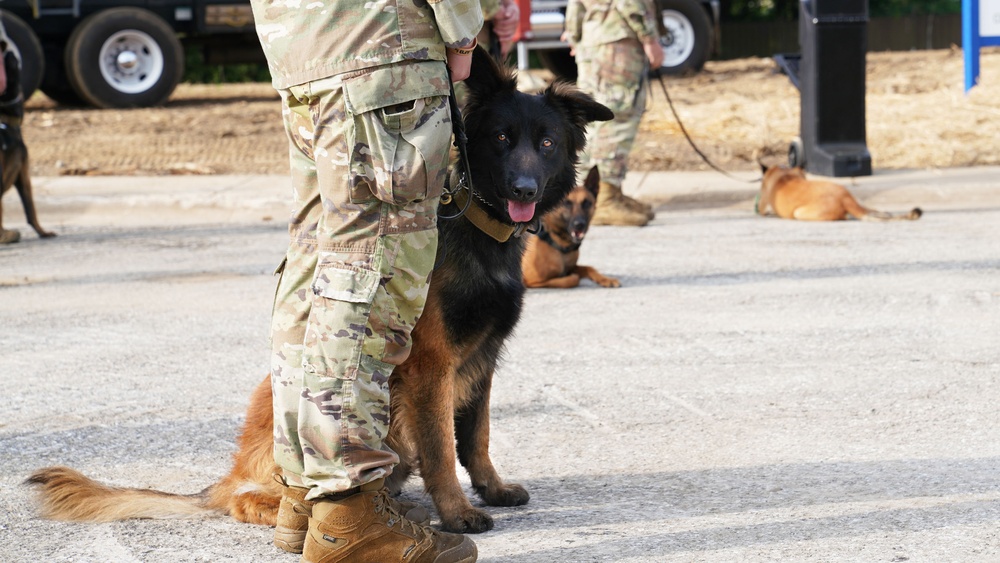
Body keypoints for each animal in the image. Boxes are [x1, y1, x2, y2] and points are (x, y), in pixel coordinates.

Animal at [756, 162, 920, 221]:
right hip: (857, 201)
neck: (783, 172)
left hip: (799, 213)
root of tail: (844, 197)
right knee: (870, 210)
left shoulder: (763, 207)